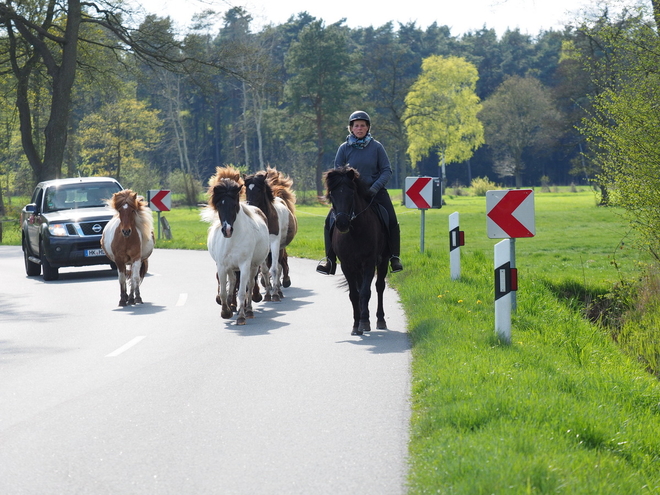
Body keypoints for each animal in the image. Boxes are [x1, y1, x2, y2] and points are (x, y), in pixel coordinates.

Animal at [204, 165, 270, 324]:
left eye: (234, 205)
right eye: (219, 205)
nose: (227, 230)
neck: (232, 241)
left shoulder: (244, 265)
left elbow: (242, 291)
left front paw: (241, 316)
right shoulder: (222, 266)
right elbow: (223, 291)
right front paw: (226, 311)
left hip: (253, 266)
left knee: (249, 286)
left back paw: (249, 311)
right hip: (230, 267)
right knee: (233, 282)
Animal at [244, 168, 298, 302]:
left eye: (259, 189)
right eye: (246, 189)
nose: (250, 206)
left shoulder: (274, 243)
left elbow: (274, 269)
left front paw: (275, 294)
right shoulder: (263, 246)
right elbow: (264, 270)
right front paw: (268, 294)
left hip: (280, 247)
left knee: (278, 266)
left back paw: (279, 291)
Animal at [324, 168, 390, 338]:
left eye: (351, 193)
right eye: (332, 195)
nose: (341, 223)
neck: (355, 233)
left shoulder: (369, 264)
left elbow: (365, 292)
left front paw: (364, 322)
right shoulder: (347, 265)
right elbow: (354, 294)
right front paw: (356, 325)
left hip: (384, 261)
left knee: (379, 286)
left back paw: (380, 320)